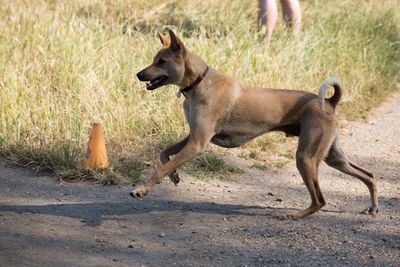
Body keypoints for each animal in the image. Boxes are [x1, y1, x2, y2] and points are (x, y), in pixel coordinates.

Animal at [134, 29, 378, 218]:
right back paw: (373, 207)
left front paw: (142, 189)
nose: (139, 74)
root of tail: (329, 102)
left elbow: (161, 168)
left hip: (306, 157)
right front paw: (174, 176)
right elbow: (164, 154)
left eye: (162, 62)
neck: (199, 82)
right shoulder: (193, 136)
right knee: (369, 176)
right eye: (155, 59)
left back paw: (296, 215)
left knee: (320, 200)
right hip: (333, 156)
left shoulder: (197, 143)